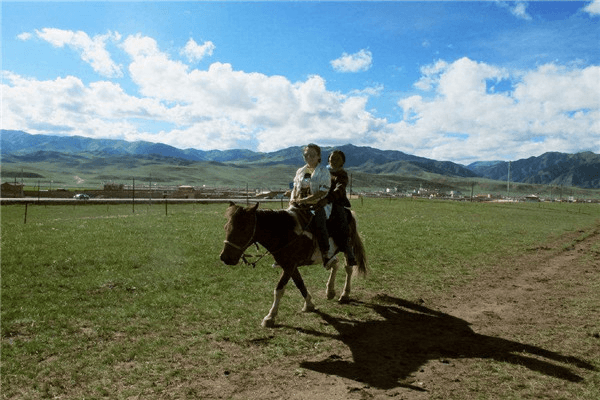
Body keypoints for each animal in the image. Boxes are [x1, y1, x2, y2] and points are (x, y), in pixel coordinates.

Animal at [220, 202, 366, 326]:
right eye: (226, 227)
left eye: (243, 229)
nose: (225, 257)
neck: (284, 233)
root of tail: (349, 213)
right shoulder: (290, 266)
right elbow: (300, 284)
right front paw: (309, 304)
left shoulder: (289, 266)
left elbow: (279, 289)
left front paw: (270, 317)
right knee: (335, 263)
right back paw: (330, 291)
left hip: (347, 246)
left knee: (348, 268)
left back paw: (345, 294)